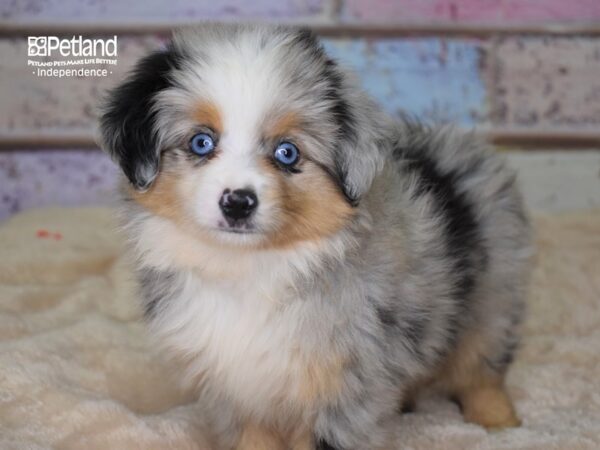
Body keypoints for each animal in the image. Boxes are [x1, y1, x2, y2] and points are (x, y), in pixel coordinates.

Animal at [99, 23, 536, 450]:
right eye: (201, 142)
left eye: (287, 153)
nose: (238, 202)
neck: (249, 268)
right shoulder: (236, 390)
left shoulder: (347, 387)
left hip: (493, 297)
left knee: (481, 369)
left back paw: (499, 424)